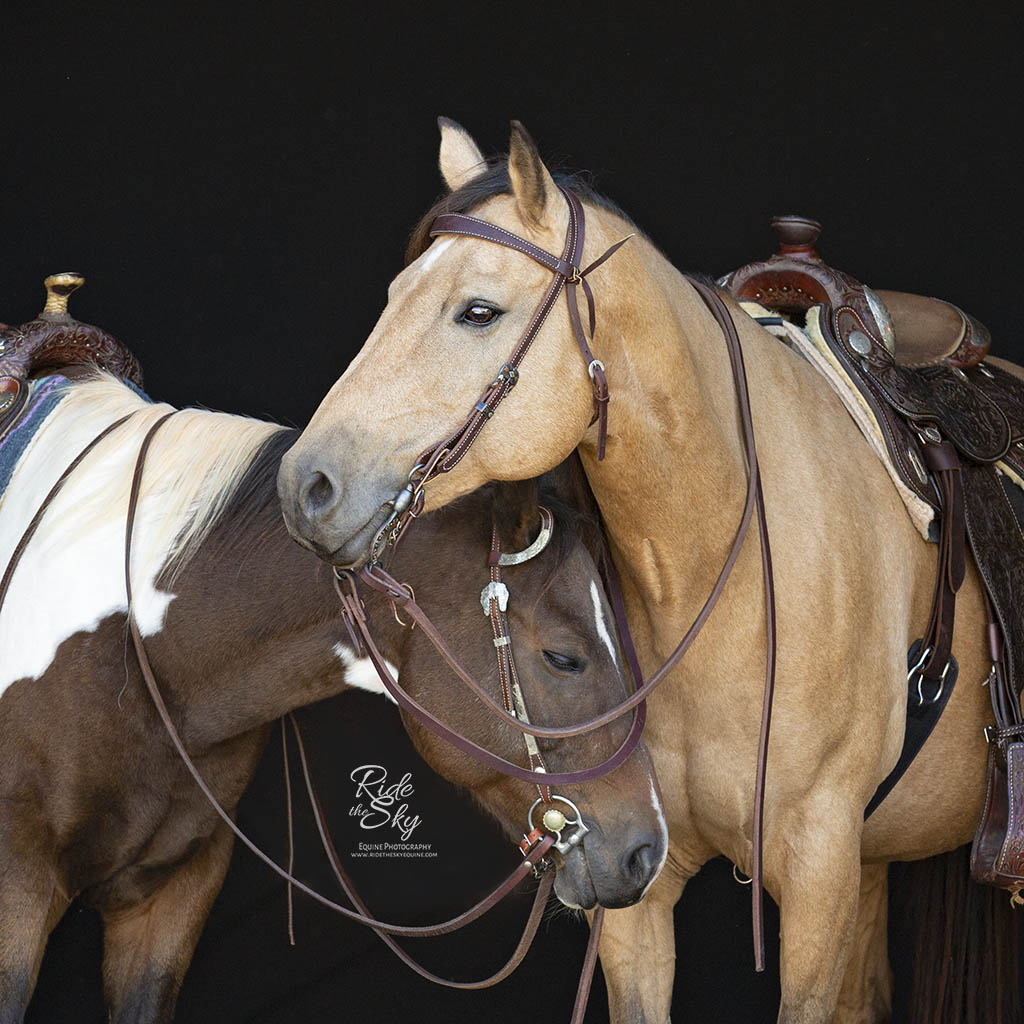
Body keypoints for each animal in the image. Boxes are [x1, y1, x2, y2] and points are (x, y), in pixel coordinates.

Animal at [275, 120, 1023, 1023]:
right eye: (392, 297)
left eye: (478, 312)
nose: (305, 485)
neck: (716, 585)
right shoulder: (634, 867)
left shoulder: (816, 873)